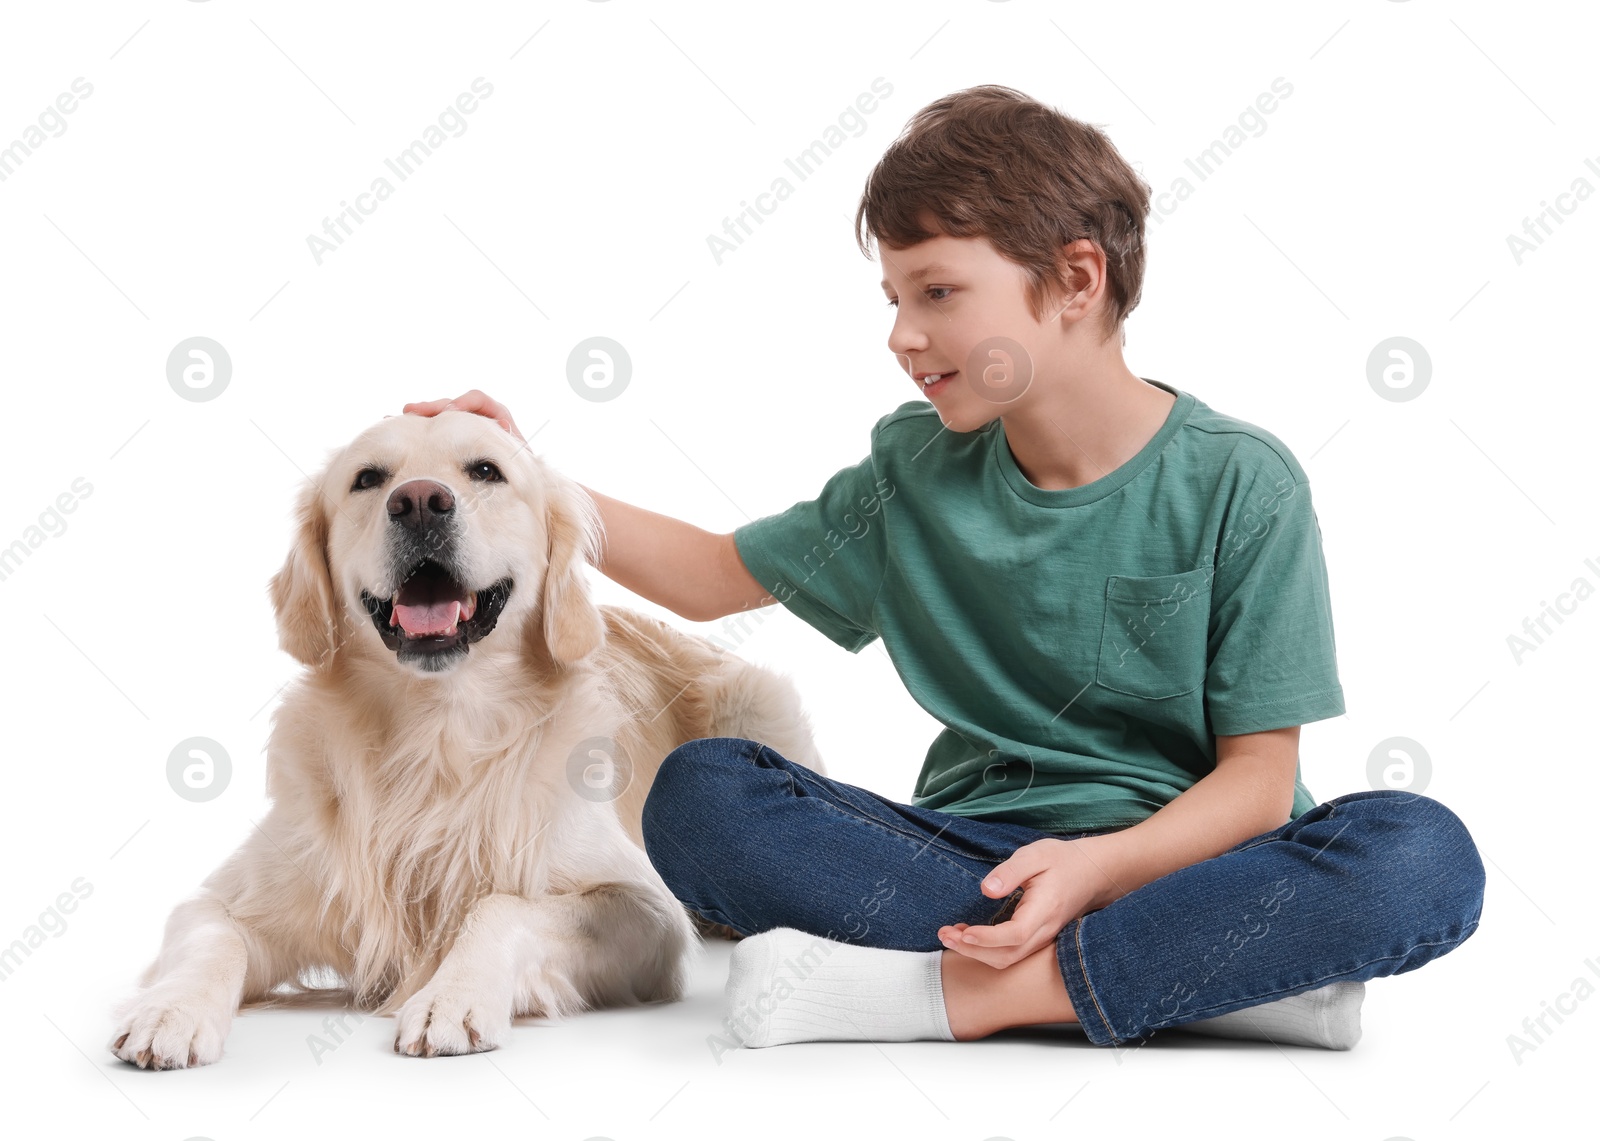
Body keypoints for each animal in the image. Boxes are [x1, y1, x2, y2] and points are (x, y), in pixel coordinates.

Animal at [109, 409, 825, 1068]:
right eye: (367, 479)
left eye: (485, 471)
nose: (421, 501)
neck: (436, 732)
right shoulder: (227, 897)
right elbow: (211, 937)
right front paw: (170, 1011)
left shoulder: (644, 912)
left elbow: (503, 905)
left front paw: (451, 998)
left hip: (759, 699)